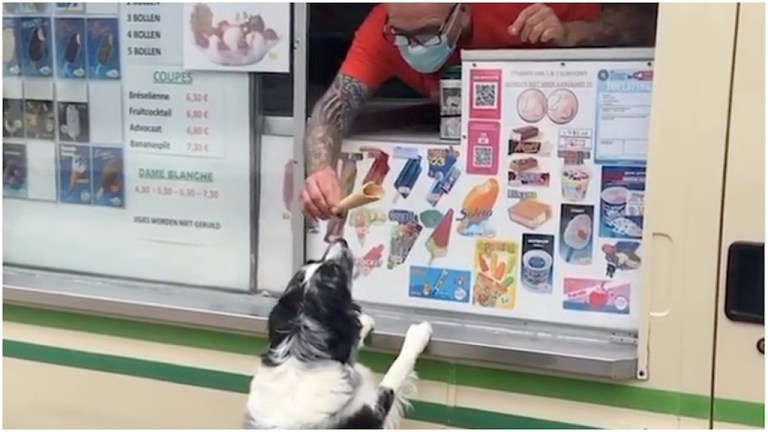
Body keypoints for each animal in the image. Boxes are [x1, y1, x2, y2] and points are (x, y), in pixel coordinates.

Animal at [248, 240, 432, 428]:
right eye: (336, 270)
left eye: (312, 262)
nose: (341, 240)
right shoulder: (376, 412)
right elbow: (396, 372)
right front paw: (418, 334)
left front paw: (365, 322)